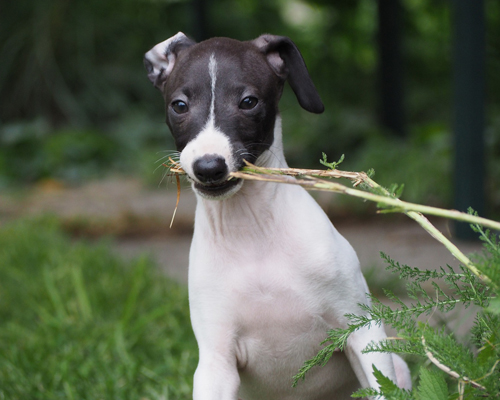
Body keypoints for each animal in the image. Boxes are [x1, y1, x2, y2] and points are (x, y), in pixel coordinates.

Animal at [145, 32, 410, 400]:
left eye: (248, 101)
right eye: (179, 105)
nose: (209, 167)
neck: (252, 231)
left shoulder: (362, 331)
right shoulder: (216, 361)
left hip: (399, 366)